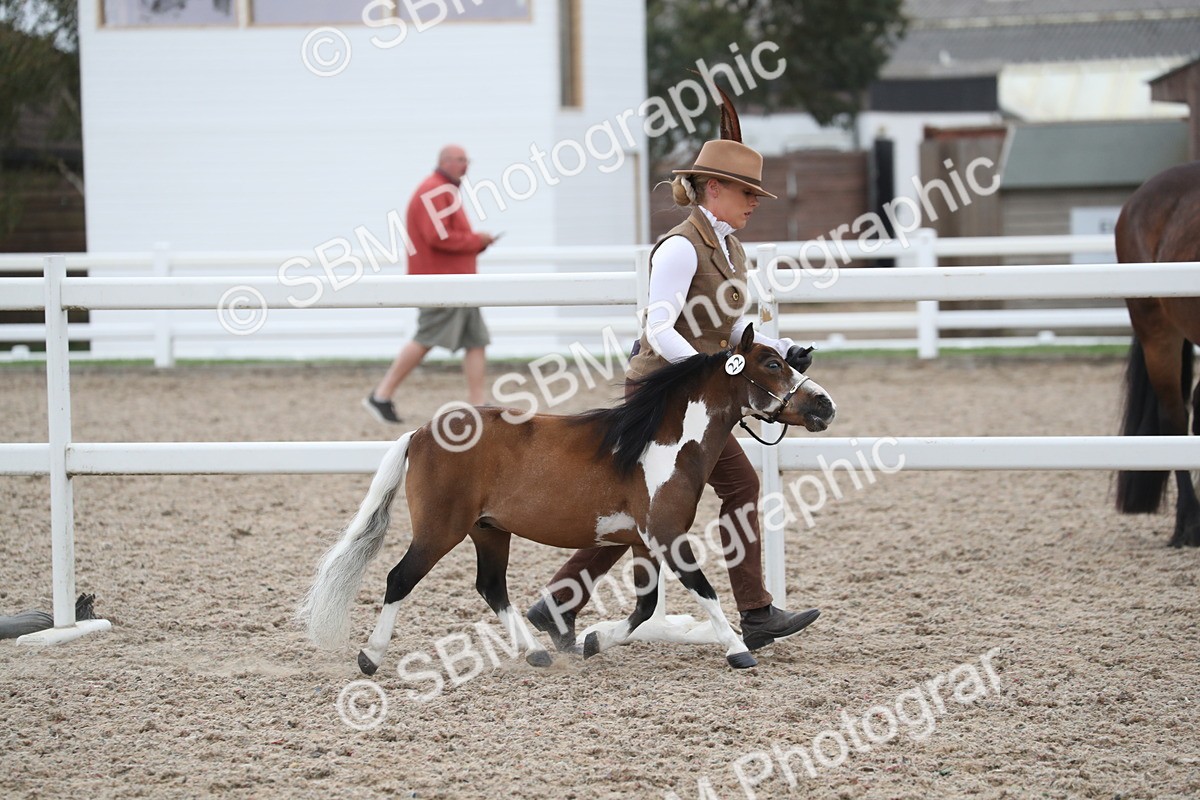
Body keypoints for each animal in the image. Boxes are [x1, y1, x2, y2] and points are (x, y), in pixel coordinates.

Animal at [298, 324, 836, 671]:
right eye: (772, 364)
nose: (825, 406)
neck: (660, 444)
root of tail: (421, 432)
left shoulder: (643, 543)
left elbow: (645, 607)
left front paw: (594, 641)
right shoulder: (666, 536)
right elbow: (703, 591)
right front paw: (737, 650)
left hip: (488, 531)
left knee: (491, 587)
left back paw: (536, 651)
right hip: (439, 530)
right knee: (399, 578)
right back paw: (370, 657)